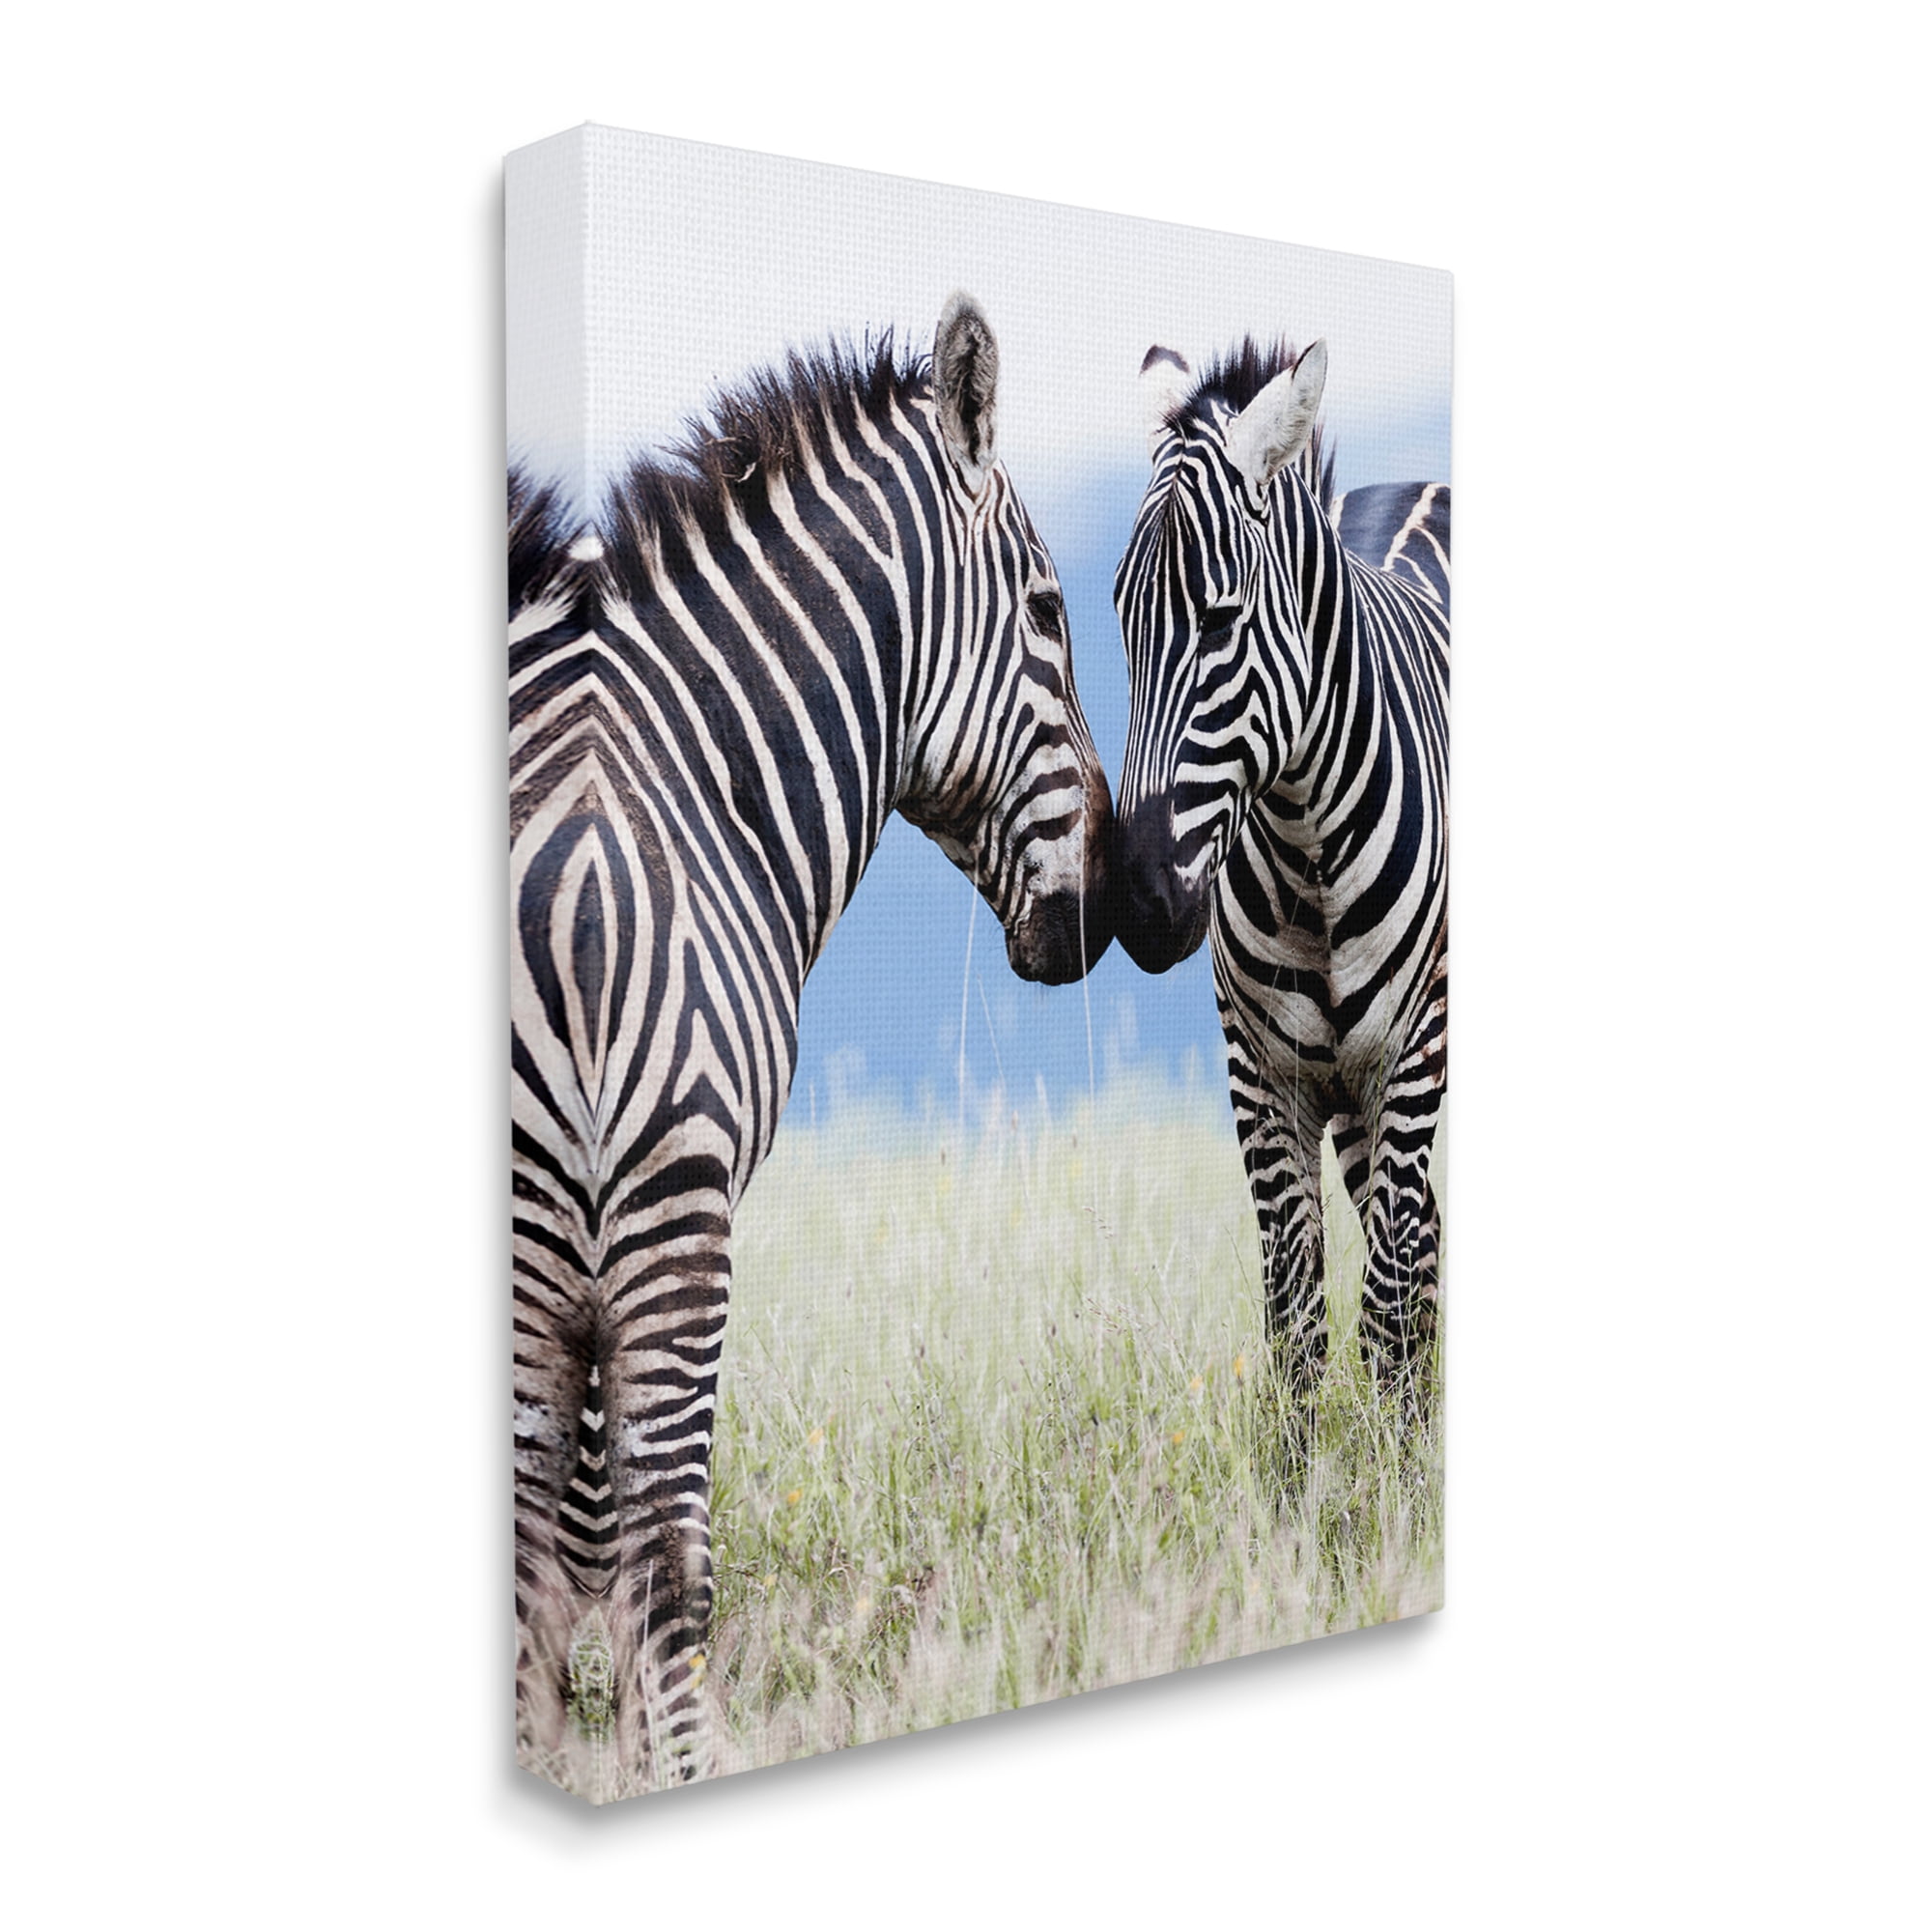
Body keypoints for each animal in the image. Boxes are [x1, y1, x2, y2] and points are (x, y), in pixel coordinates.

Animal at [1110, 336, 1449, 1450]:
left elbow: (1381, 1308)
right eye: (1119, 621)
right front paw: (1300, 1493)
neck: (1305, 843)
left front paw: (1389, 1481)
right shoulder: (1262, 1077)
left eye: (1220, 620)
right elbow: (1295, 1320)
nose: (1137, 903)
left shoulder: (1411, 1055)